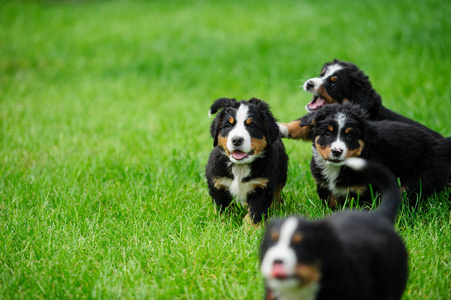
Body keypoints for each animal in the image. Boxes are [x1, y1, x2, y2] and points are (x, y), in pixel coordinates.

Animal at [308, 103, 451, 209]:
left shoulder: (368, 190)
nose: (337, 151)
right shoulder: (325, 187)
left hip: (419, 179)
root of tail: (440, 144)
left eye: (350, 136)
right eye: (327, 133)